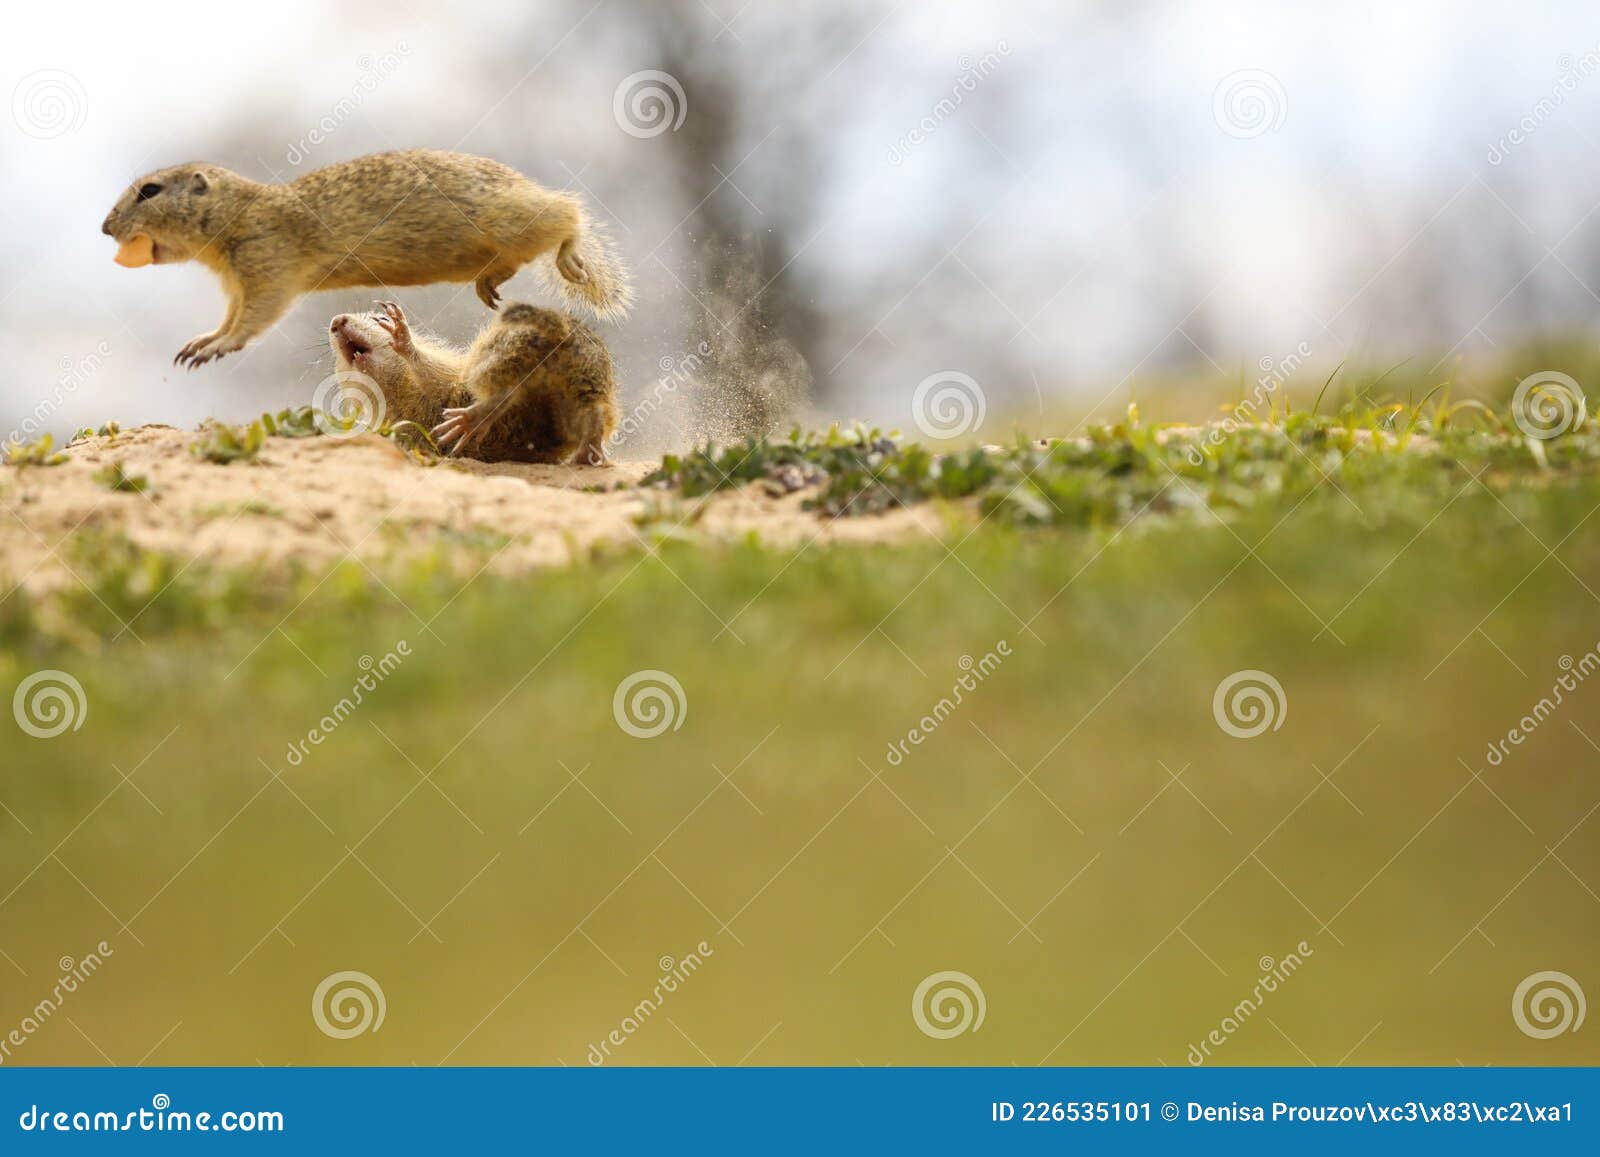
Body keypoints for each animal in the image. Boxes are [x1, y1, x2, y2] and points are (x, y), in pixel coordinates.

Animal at [104, 148, 630, 366]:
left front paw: (217, 347)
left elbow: (253, 320)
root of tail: (524, 183)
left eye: (150, 191)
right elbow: (231, 317)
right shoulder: (237, 284)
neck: (237, 215)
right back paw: (489, 284)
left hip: (516, 214)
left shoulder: (266, 269)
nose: (104, 227)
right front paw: (203, 341)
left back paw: (573, 259)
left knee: (567, 212)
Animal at [331, 300, 617, 467]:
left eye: (373, 316)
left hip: (495, 351)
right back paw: (589, 451)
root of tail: (557, 332)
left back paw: (473, 418)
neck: (396, 393)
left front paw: (401, 335)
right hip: (581, 379)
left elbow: (431, 372)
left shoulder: (449, 374)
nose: (336, 321)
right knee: (588, 410)